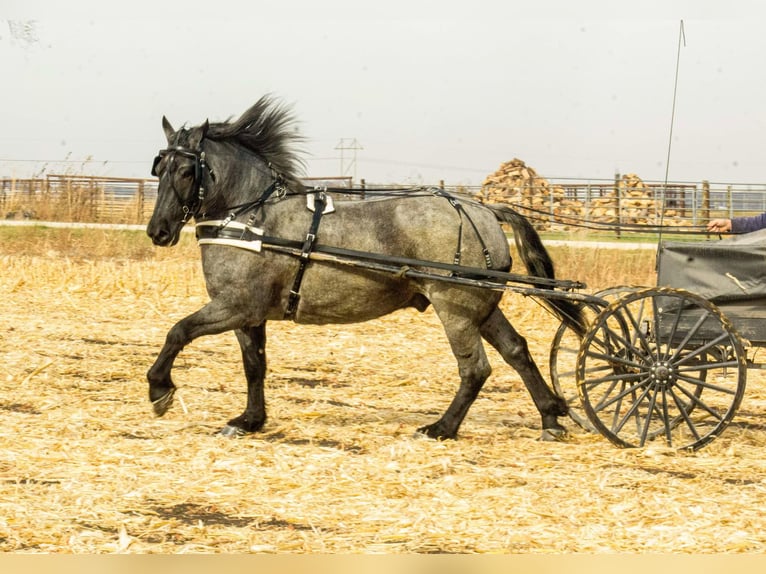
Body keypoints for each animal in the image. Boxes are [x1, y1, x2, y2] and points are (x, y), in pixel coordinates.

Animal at [147, 97, 584, 444]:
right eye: (159, 168)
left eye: (186, 171)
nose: (158, 231)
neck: (251, 217)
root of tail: (482, 209)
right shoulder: (249, 314)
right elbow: (254, 365)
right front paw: (249, 420)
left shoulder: (235, 306)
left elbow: (178, 331)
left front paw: (160, 390)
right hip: (483, 308)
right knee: (517, 351)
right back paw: (550, 417)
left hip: (455, 309)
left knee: (475, 368)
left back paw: (441, 428)